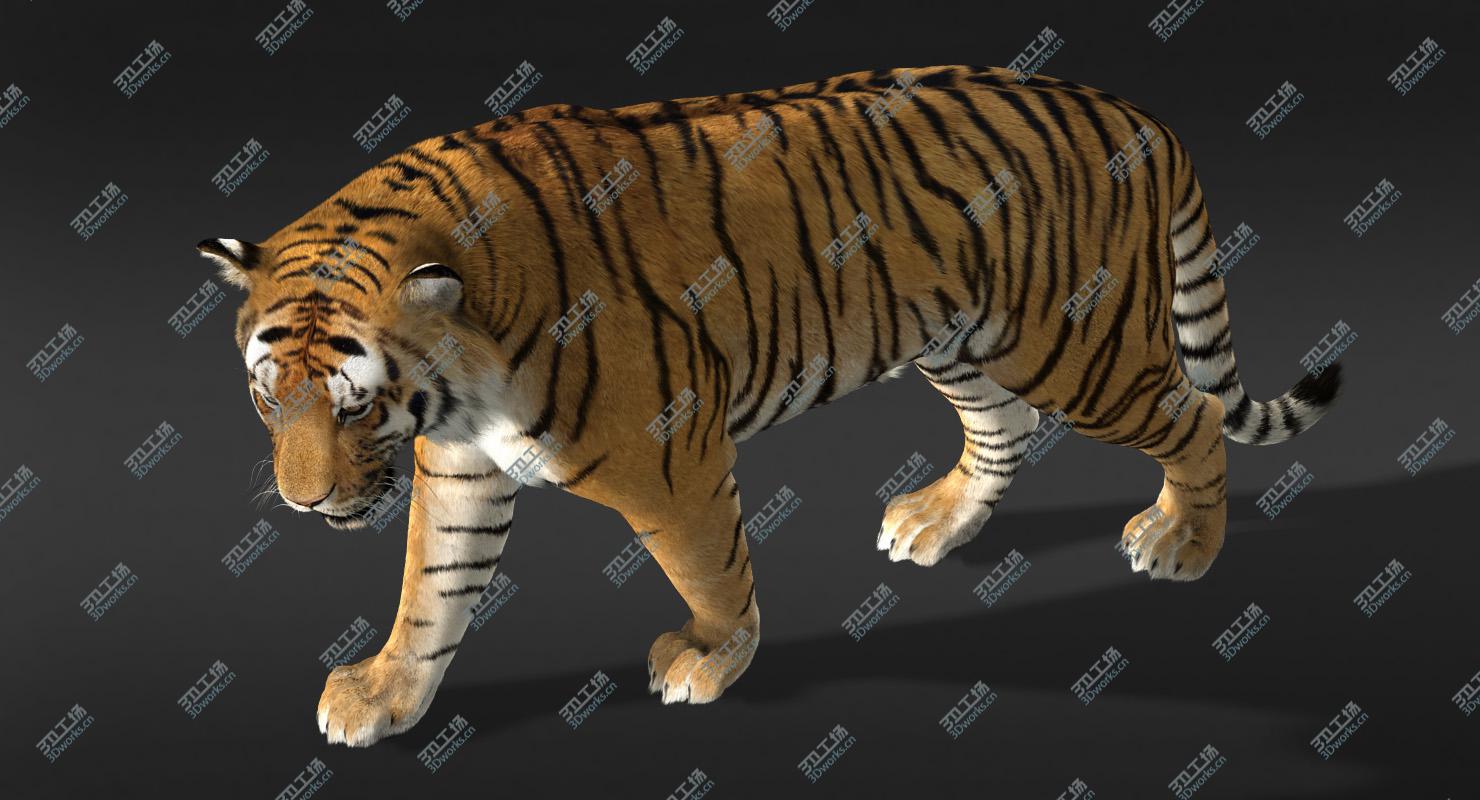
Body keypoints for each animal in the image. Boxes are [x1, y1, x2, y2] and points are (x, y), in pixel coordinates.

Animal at [197, 64, 1342, 747]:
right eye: (267, 398)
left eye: (355, 408)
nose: (301, 504)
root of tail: (1131, 109)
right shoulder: (463, 462)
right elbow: (432, 588)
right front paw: (385, 692)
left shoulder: (671, 455)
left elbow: (706, 564)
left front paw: (709, 657)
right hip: (958, 335)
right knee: (1005, 426)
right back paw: (935, 521)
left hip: (1072, 343)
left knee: (1191, 418)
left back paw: (1183, 540)